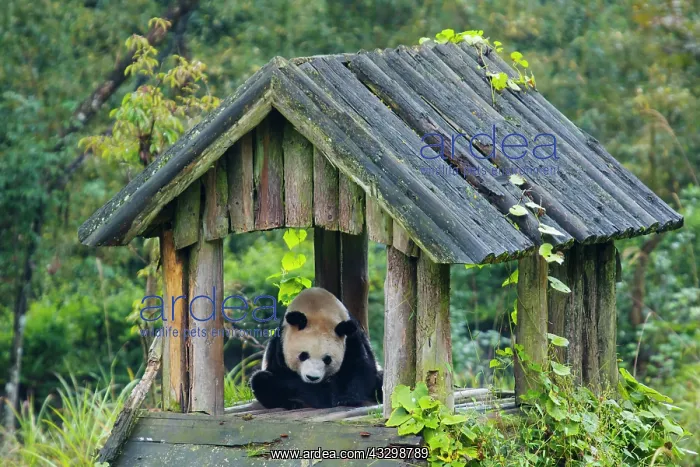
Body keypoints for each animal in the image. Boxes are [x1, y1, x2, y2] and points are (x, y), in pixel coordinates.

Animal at [250, 287, 383, 409]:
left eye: (327, 359)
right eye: (303, 355)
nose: (312, 378)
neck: (317, 310)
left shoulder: (352, 338)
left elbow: (360, 366)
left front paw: (347, 399)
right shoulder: (280, 344)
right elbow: (283, 375)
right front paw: (323, 395)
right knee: (261, 380)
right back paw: (293, 403)